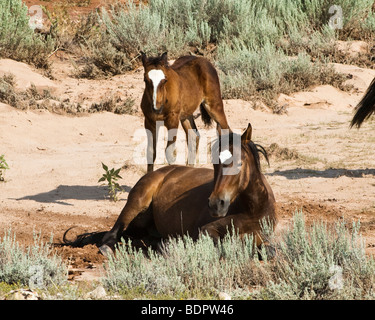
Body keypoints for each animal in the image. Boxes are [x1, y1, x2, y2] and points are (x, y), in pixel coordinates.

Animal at [100, 124, 280, 256]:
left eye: (239, 163)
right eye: (215, 164)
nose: (216, 204)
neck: (254, 210)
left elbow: (268, 249)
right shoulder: (206, 230)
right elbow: (224, 245)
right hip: (136, 203)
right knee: (112, 234)